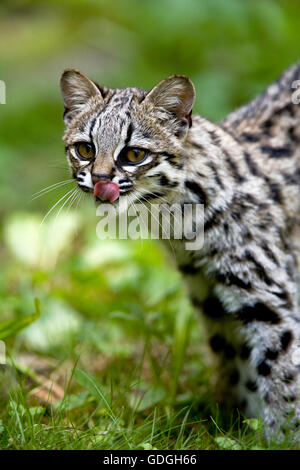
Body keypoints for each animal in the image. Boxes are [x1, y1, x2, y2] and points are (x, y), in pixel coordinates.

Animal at [59, 61, 300, 436]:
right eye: (85, 149)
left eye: (134, 154)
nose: (99, 180)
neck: (179, 218)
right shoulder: (208, 294)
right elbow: (238, 363)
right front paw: (239, 424)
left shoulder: (268, 297)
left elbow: (281, 372)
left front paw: (281, 435)